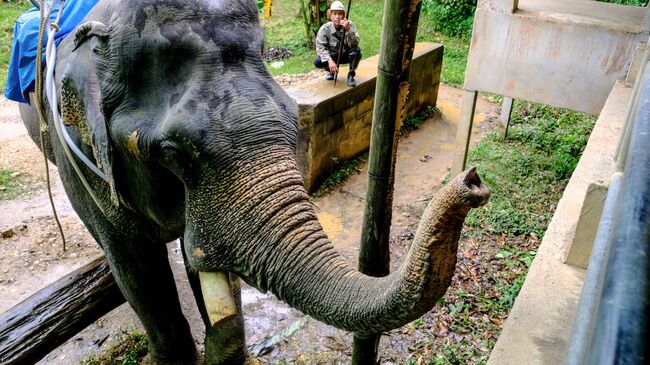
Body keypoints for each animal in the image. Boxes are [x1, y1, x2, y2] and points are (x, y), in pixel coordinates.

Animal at [17, 0, 488, 362]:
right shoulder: (77, 157)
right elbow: (136, 269)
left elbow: (196, 260)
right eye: (172, 154)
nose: (473, 181)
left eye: (294, 116)